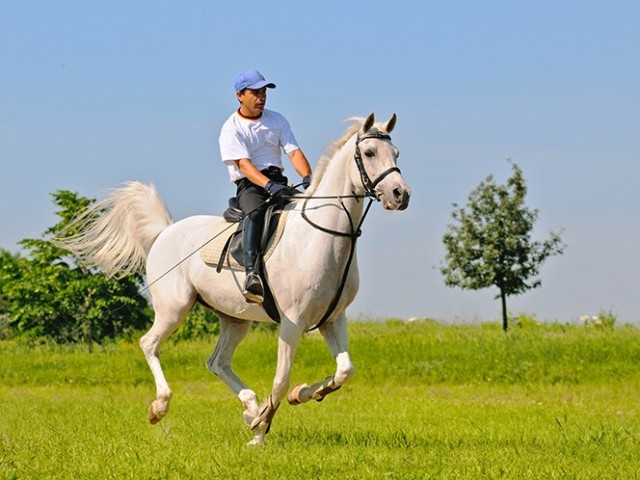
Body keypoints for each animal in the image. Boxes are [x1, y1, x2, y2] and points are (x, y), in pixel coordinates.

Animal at [56, 113, 411, 445]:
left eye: (395, 152)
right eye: (369, 152)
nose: (400, 195)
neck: (321, 238)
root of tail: (165, 232)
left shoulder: (332, 319)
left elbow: (344, 371)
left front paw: (299, 396)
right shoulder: (293, 322)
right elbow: (280, 380)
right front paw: (259, 433)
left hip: (234, 319)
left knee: (217, 362)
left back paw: (249, 406)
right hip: (174, 308)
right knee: (149, 344)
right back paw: (161, 407)